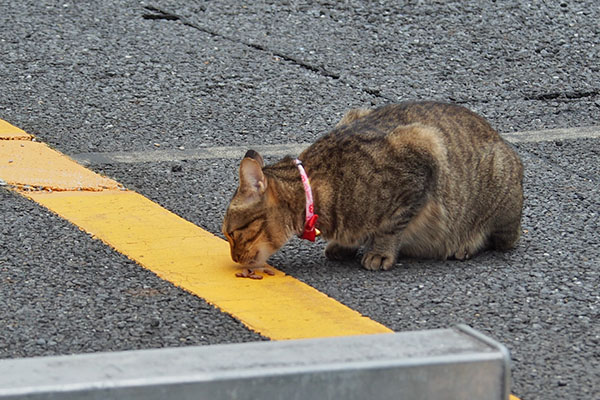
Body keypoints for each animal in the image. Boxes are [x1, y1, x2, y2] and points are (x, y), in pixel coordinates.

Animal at [223, 101, 524, 274]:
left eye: (233, 233)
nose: (235, 258)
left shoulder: (423, 149)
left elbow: (390, 227)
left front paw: (379, 252)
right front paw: (343, 245)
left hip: (497, 191)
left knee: (502, 240)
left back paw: (466, 245)